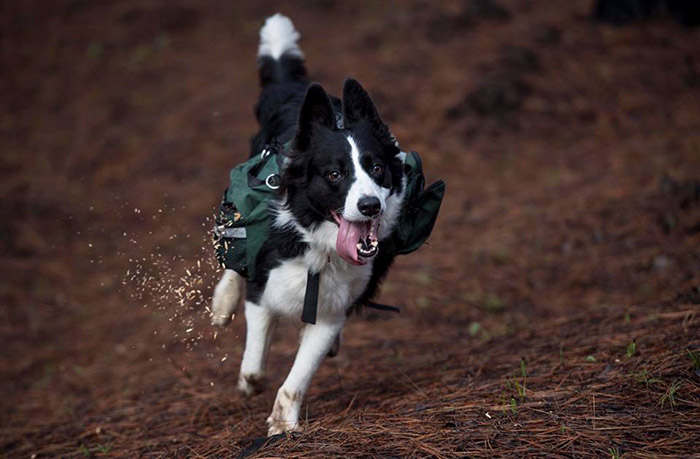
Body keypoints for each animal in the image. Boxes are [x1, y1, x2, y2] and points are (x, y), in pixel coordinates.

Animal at [209, 13, 404, 438]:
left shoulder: (330, 312)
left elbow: (296, 377)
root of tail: (296, 91)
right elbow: (254, 364)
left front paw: (283, 425)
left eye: (377, 168)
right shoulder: (264, 288)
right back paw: (222, 302)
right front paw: (252, 384)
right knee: (233, 247)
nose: (370, 206)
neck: (320, 245)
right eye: (334, 174)